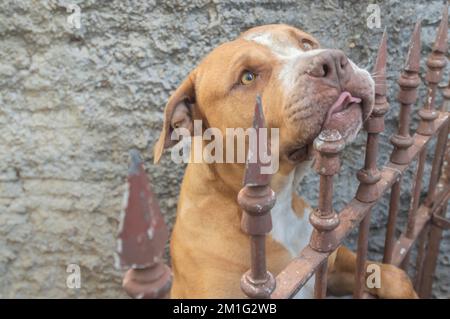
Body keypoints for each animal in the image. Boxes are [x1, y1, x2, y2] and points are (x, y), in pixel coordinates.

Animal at [154, 25, 418, 300]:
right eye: (247, 77)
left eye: (306, 43)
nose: (333, 61)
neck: (278, 201)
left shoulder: (331, 263)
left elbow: (394, 275)